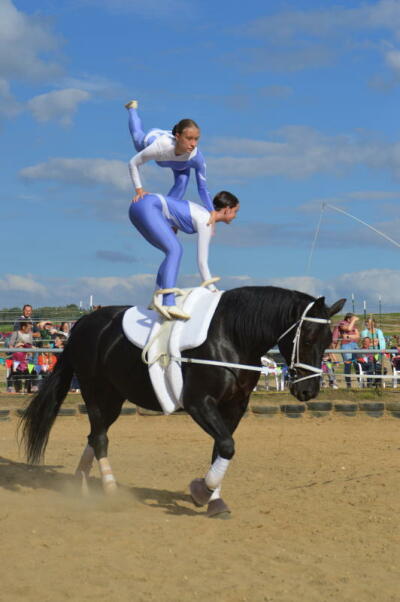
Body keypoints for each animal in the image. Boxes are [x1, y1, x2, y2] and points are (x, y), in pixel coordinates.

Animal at [21, 286, 344, 516]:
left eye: (329, 340)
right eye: (308, 337)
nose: (308, 392)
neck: (230, 337)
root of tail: (83, 323)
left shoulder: (233, 407)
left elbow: (220, 449)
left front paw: (213, 499)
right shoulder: (198, 403)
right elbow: (227, 445)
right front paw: (201, 492)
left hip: (113, 397)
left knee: (94, 435)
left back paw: (79, 484)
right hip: (95, 391)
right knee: (100, 438)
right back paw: (111, 492)